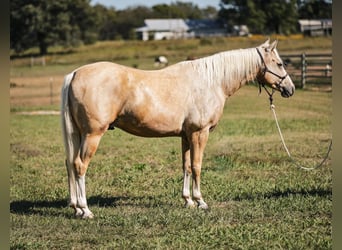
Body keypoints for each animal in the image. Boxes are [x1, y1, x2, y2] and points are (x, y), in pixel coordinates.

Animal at [60, 40, 294, 218]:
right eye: (280, 63)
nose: (290, 89)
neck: (212, 81)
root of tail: (75, 73)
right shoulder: (200, 133)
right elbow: (197, 166)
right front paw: (201, 201)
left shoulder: (186, 136)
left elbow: (187, 167)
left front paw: (188, 201)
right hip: (93, 134)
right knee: (80, 165)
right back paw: (85, 210)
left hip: (79, 134)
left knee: (70, 163)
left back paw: (75, 207)